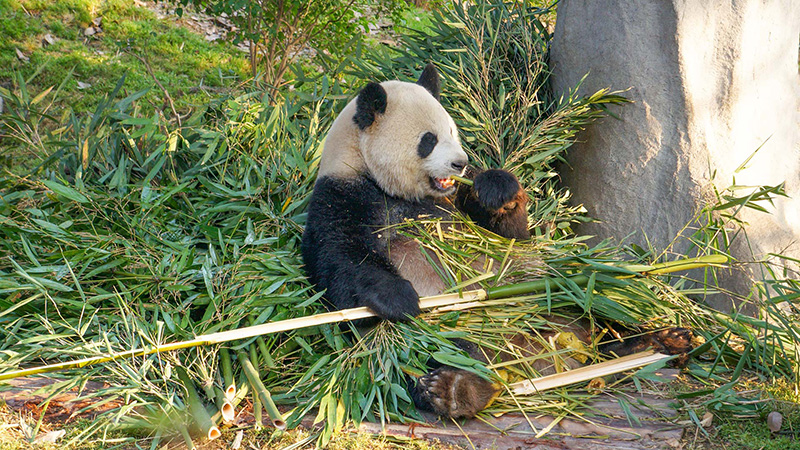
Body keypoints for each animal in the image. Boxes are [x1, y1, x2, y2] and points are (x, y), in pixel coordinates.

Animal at [301, 64, 693, 419]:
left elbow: (512, 237)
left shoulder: (457, 202)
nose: (460, 163)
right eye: (429, 140)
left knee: (600, 298)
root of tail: (558, 357)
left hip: (559, 290)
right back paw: (455, 390)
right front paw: (401, 298)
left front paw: (497, 190)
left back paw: (660, 339)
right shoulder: (341, 197)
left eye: (453, 132)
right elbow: (342, 262)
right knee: (448, 349)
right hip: (450, 329)